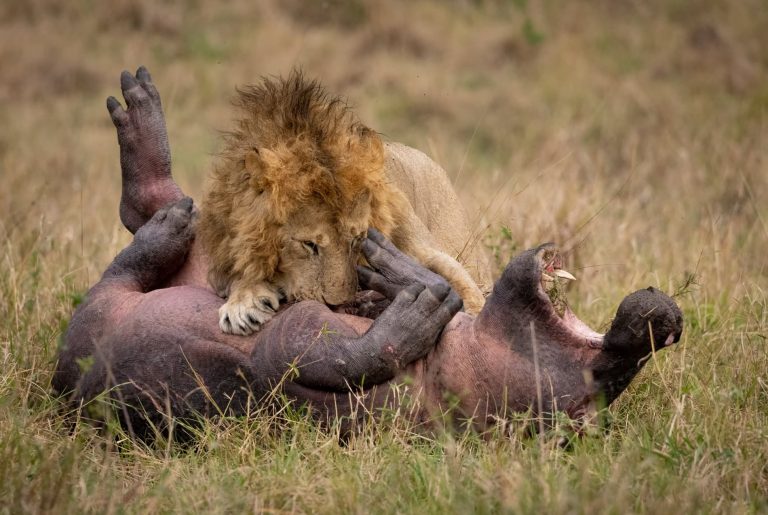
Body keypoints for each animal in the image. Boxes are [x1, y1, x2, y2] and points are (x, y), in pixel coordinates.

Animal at [198, 73, 486, 338]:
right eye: (309, 244)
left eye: (357, 239)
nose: (336, 305)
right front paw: (242, 303)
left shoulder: (426, 251)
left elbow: (469, 294)